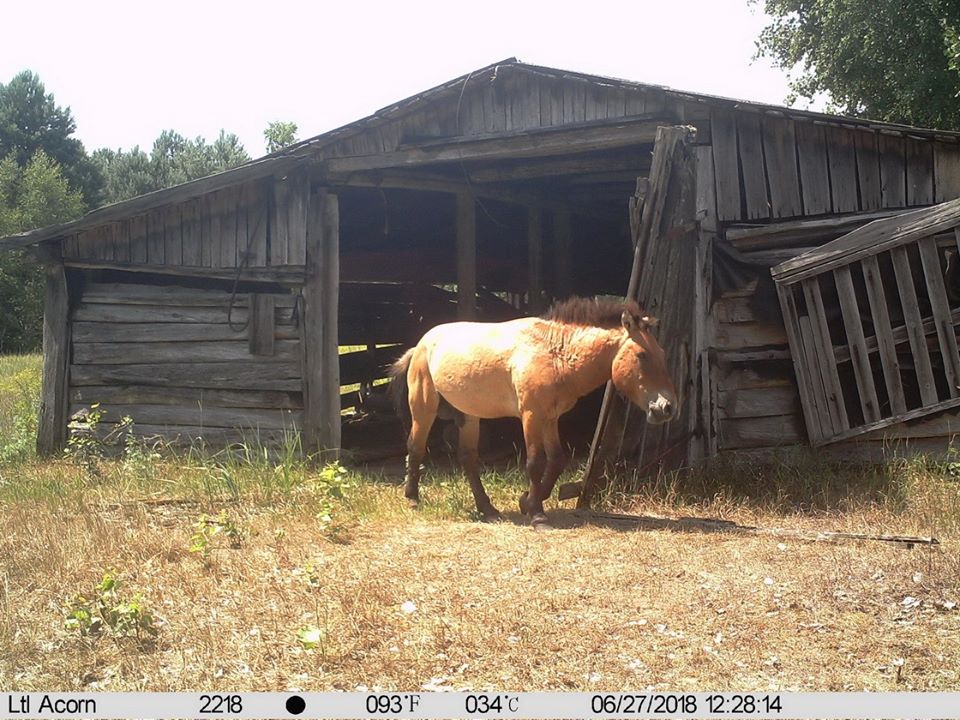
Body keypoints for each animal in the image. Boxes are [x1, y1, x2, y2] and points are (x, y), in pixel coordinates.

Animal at [388, 296, 676, 524]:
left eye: (662, 354)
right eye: (642, 355)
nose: (667, 407)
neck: (555, 354)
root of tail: (421, 345)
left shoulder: (550, 418)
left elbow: (557, 460)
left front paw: (526, 501)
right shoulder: (531, 416)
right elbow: (535, 463)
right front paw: (537, 514)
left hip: (469, 415)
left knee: (468, 459)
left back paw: (488, 509)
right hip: (424, 407)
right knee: (415, 447)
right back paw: (413, 499)